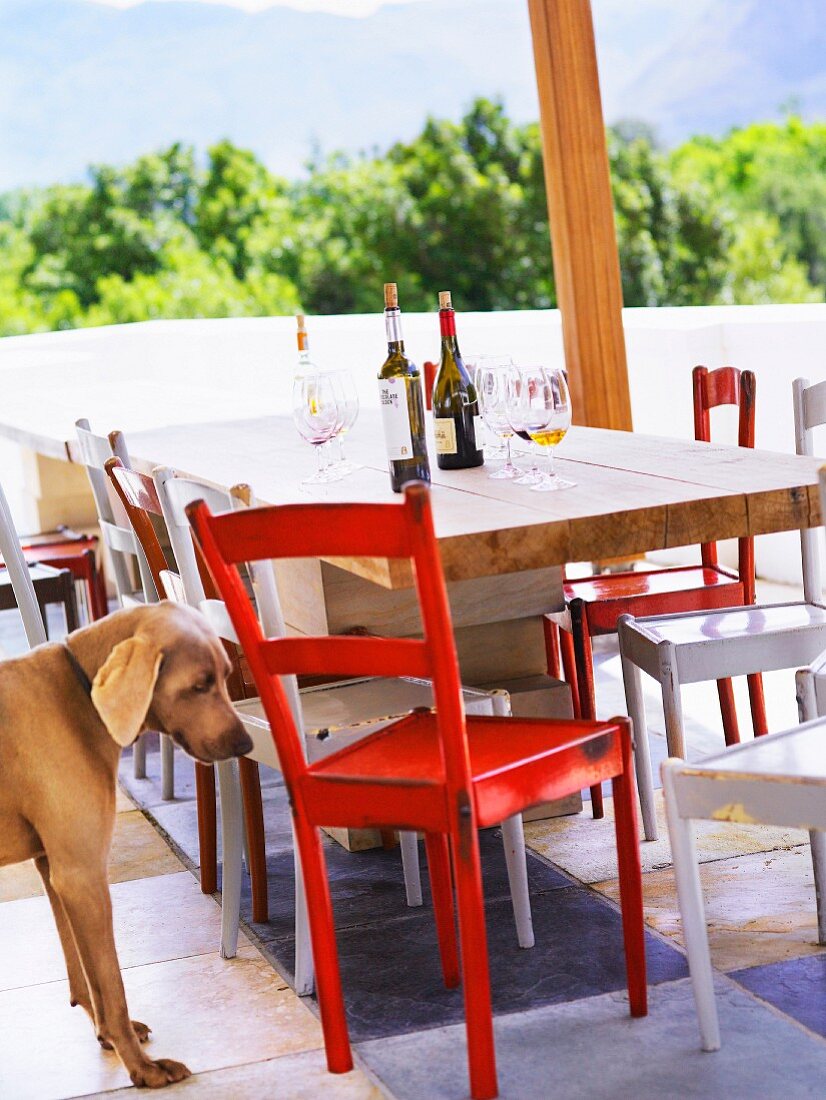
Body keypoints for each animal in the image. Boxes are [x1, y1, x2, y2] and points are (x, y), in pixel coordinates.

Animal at [0, 602, 254, 1091]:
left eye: (226, 676)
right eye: (199, 685)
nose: (247, 744)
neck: (80, 696)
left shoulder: (55, 870)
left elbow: (87, 976)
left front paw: (110, 1039)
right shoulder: (82, 876)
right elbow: (112, 983)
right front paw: (143, 1068)